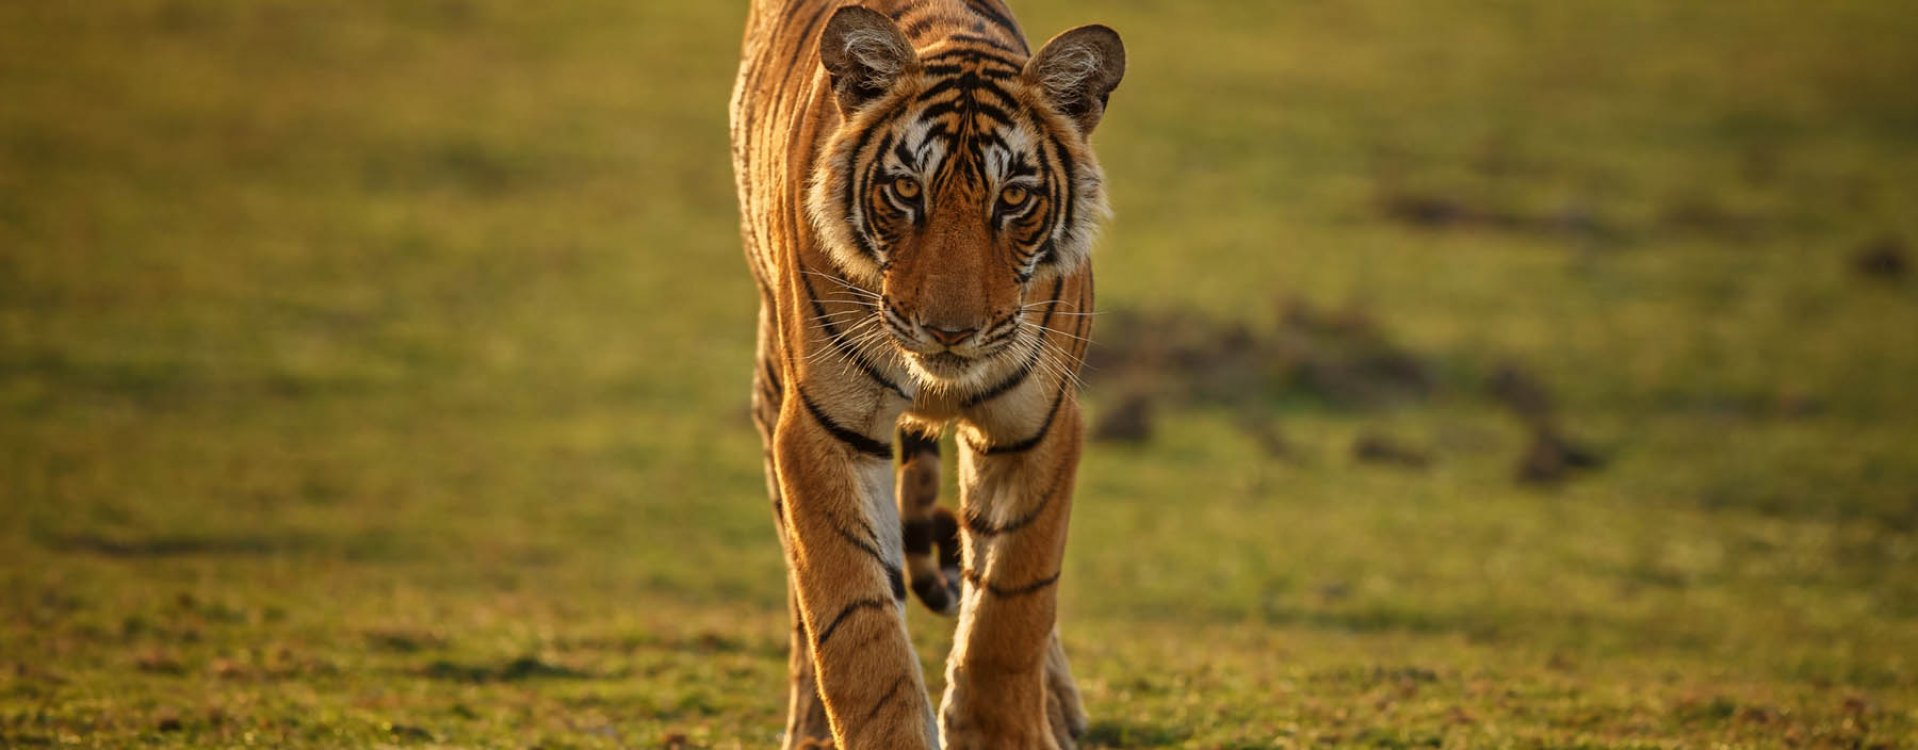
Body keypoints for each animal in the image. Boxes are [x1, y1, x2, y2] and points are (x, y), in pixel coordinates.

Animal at [728, 2, 1120, 748]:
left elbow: (1012, 606)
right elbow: (855, 619)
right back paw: (807, 725)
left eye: (1014, 198)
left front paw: (1005, 730)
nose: (949, 332)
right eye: (907, 190)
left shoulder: (1037, 426)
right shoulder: (826, 429)